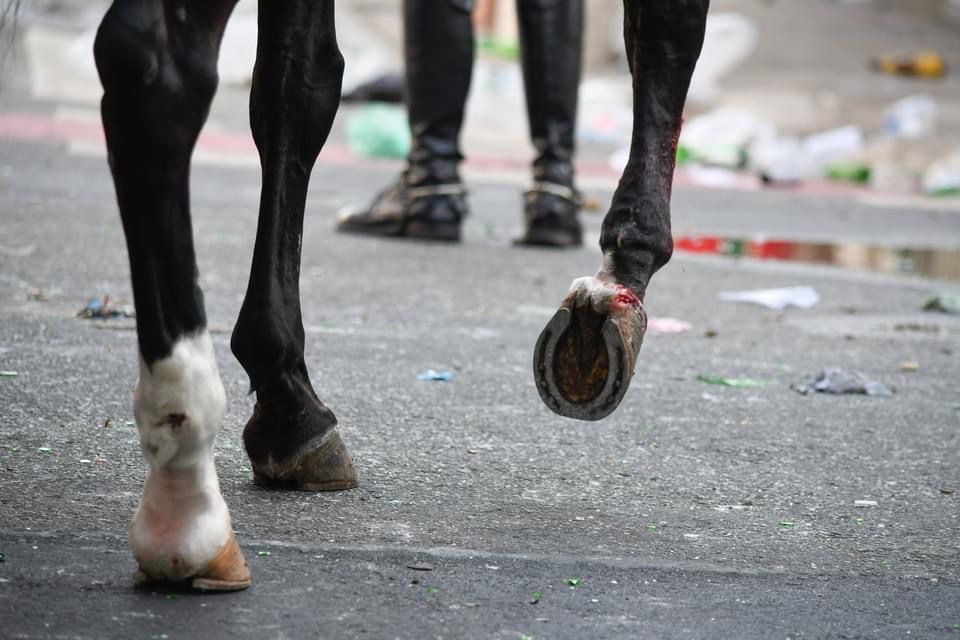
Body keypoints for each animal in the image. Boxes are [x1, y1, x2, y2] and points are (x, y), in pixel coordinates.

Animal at [90, 0, 708, 590]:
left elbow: (298, 85)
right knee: (164, 75)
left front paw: (287, 400)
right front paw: (625, 266)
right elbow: (668, 30)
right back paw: (188, 500)